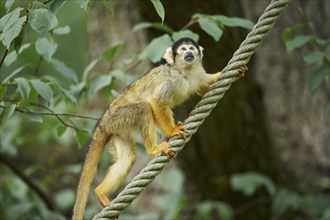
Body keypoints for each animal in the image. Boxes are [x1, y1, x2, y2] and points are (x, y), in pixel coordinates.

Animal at [72, 37, 248, 219]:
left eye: (191, 48)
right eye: (183, 49)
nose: (189, 53)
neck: (184, 71)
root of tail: (103, 121)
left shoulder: (197, 73)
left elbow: (203, 88)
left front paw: (235, 72)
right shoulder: (170, 81)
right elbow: (157, 101)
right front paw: (171, 131)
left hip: (118, 129)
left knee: (127, 158)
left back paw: (99, 191)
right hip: (118, 117)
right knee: (144, 108)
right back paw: (153, 148)